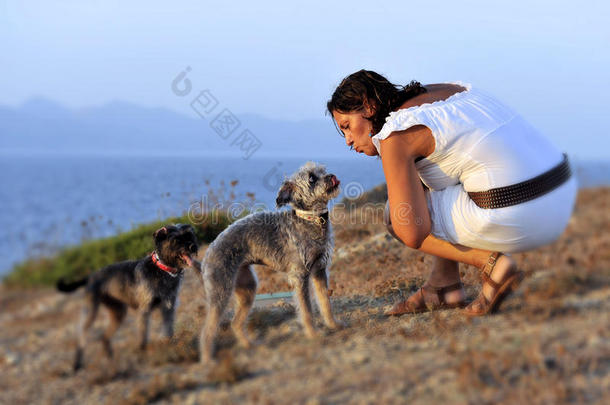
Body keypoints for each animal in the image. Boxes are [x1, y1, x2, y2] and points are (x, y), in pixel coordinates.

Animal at [56, 223, 198, 370]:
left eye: (189, 235)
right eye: (175, 240)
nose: (193, 247)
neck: (162, 269)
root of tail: (90, 277)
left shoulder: (168, 307)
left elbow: (168, 329)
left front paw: (169, 346)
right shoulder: (145, 310)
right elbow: (143, 334)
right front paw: (142, 351)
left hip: (117, 312)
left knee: (104, 337)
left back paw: (110, 359)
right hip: (91, 311)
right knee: (81, 336)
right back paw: (77, 363)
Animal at [200, 160, 342, 360]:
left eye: (323, 170)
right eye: (312, 178)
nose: (332, 176)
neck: (310, 219)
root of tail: (208, 252)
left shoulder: (319, 271)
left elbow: (325, 303)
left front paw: (333, 325)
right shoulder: (300, 276)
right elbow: (306, 310)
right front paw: (313, 334)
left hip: (247, 289)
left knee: (235, 323)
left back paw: (248, 345)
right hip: (220, 293)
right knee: (207, 330)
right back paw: (208, 359)